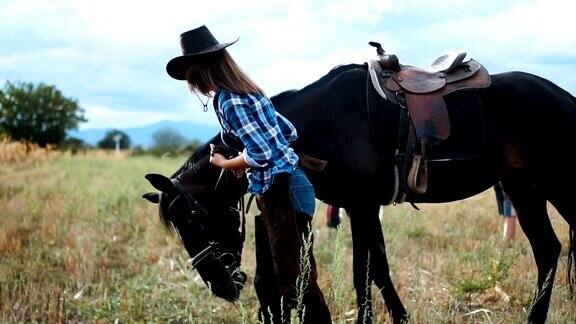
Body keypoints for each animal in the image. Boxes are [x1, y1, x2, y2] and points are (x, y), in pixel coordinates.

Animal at [143, 61, 576, 324]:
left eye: (194, 217)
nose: (220, 286)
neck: (322, 124)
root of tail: (564, 97)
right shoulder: (359, 208)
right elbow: (376, 267)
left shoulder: (362, 206)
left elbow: (364, 271)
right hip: (522, 188)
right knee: (547, 250)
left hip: (555, 185)